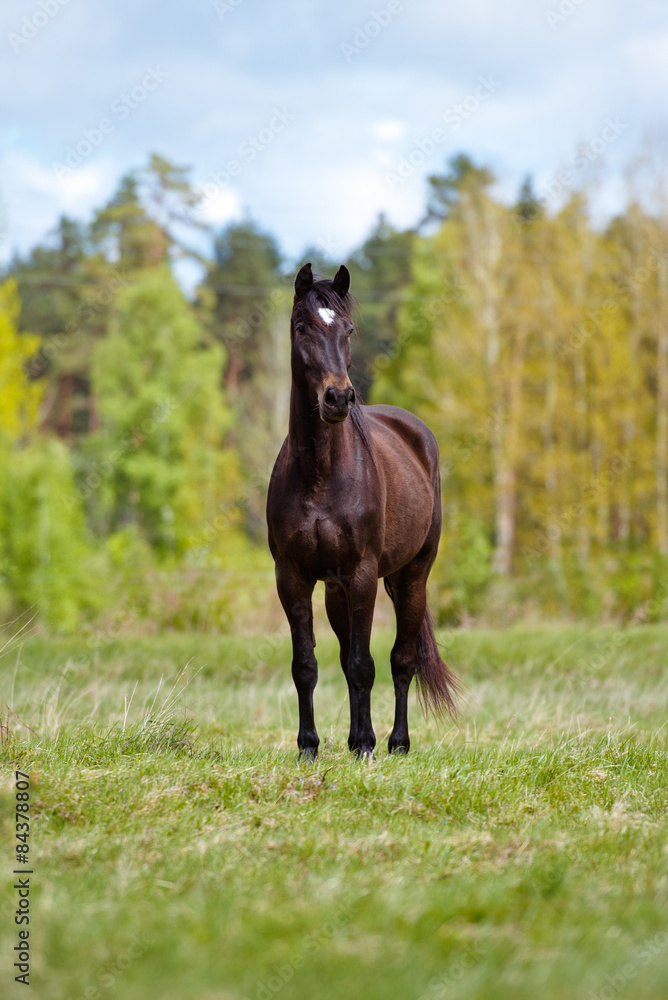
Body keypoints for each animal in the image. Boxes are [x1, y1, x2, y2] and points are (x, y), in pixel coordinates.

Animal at [266, 262, 458, 759]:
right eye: (301, 326)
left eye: (348, 329)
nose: (338, 398)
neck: (321, 474)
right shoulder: (292, 577)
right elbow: (307, 665)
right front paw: (309, 746)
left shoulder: (363, 574)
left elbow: (363, 665)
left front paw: (368, 744)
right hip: (337, 591)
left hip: (411, 577)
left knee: (401, 660)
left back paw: (396, 742)